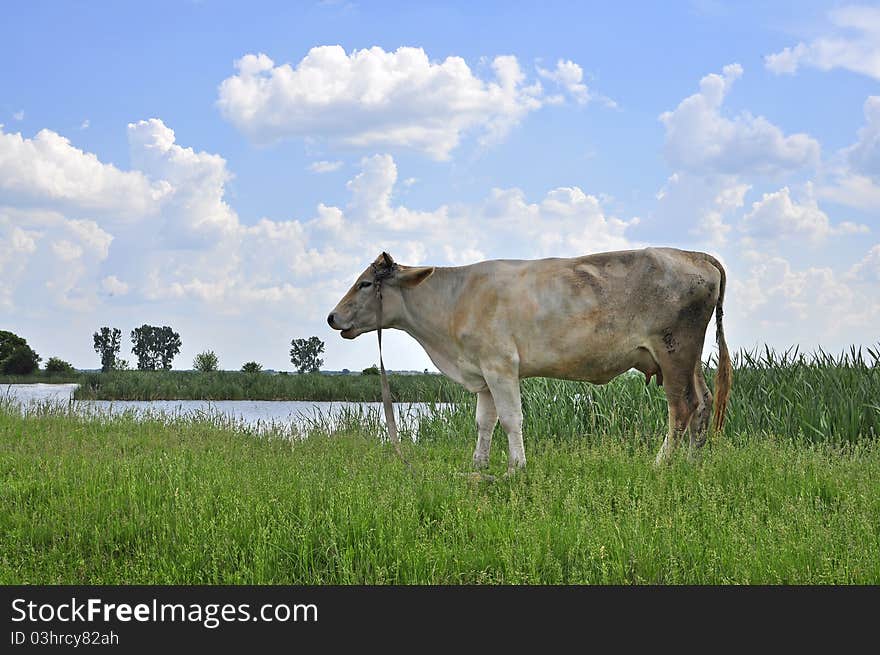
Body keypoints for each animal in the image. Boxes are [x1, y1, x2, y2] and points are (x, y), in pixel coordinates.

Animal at [326, 249, 732, 474]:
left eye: (365, 284)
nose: (331, 317)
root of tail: (695, 255)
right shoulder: (482, 372)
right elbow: (484, 422)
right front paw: (478, 466)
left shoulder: (501, 365)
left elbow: (511, 419)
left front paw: (515, 468)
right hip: (689, 357)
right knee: (703, 403)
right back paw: (693, 464)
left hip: (674, 350)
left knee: (682, 408)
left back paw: (661, 465)